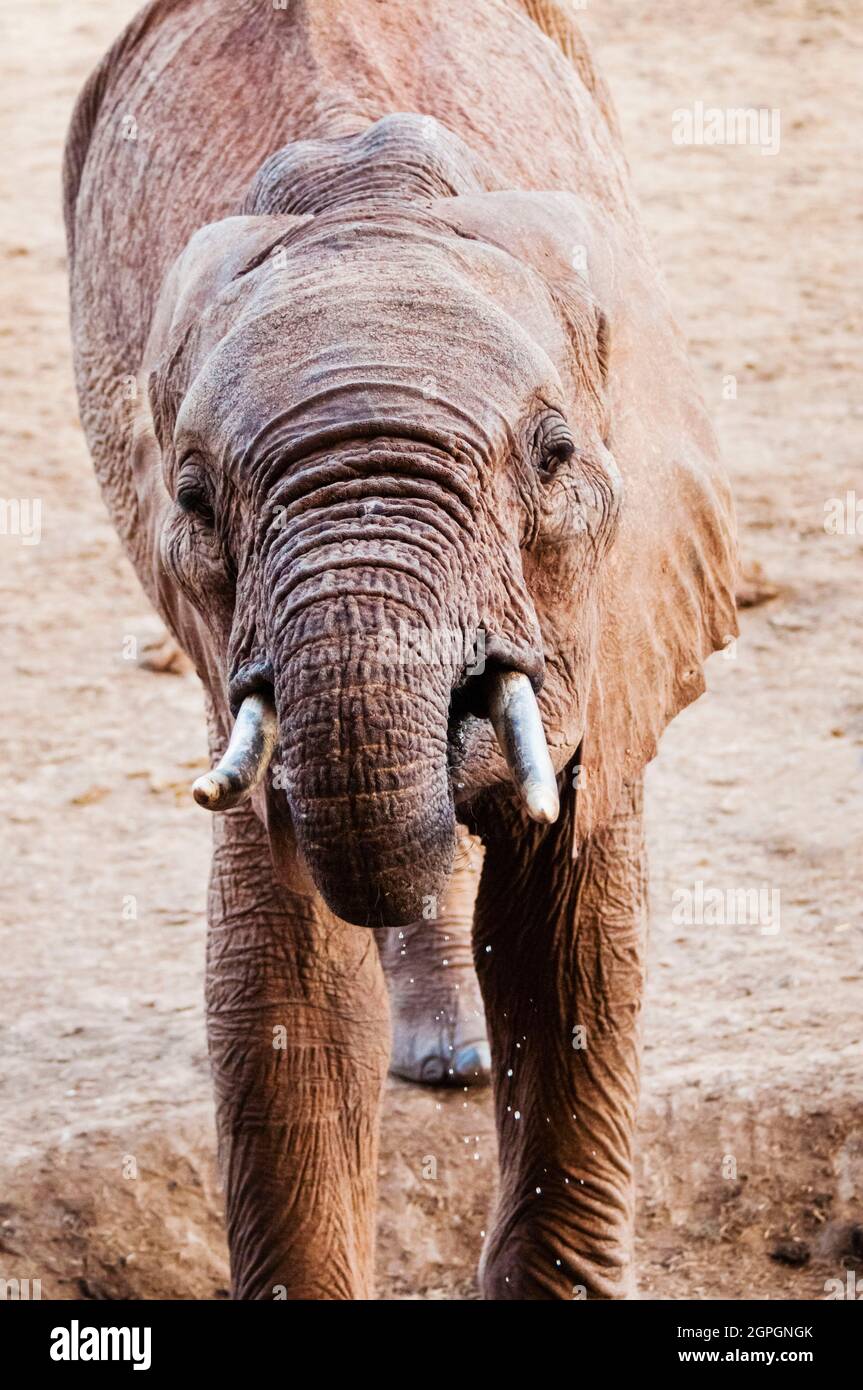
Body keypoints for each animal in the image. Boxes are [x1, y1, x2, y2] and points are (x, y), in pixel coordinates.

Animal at [62, 2, 733, 1301]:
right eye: (193, 499)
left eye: (554, 456)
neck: (362, 195)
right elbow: (281, 971)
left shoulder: (609, 608)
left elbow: (570, 944)